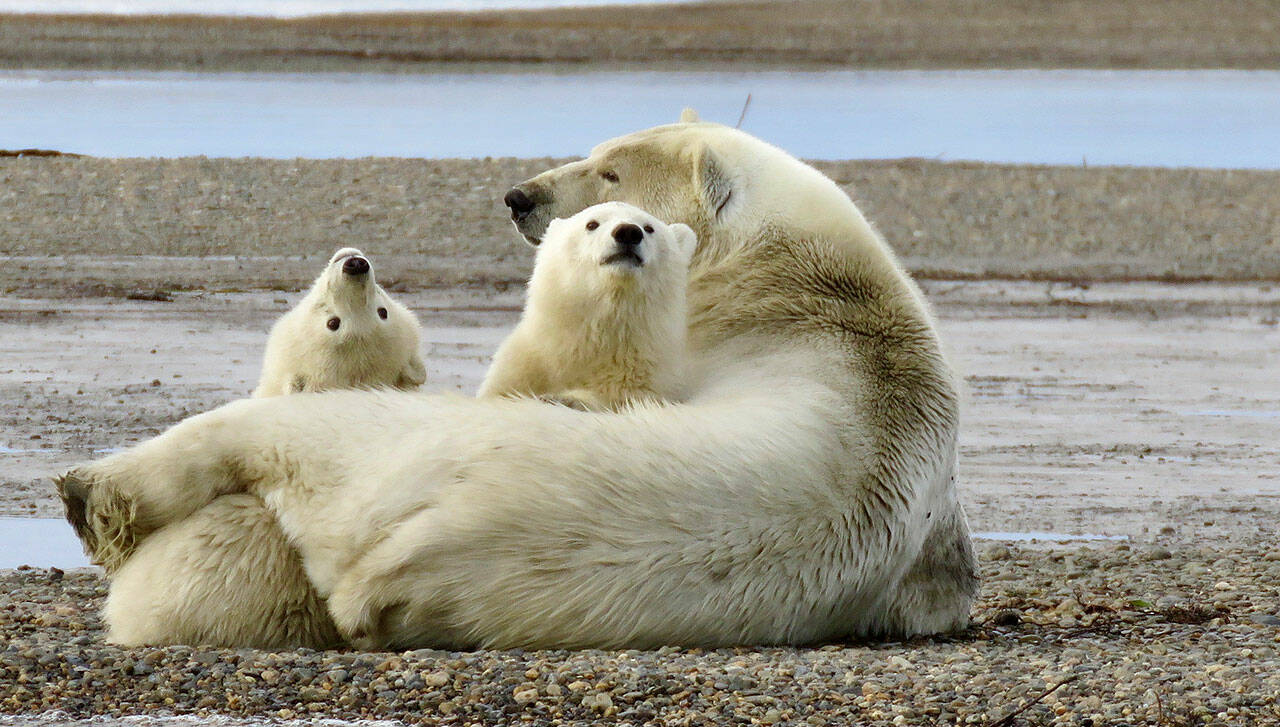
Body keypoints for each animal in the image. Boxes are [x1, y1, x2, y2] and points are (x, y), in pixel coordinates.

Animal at [478, 202, 696, 412]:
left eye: (649, 227)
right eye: (592, 224)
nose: (628, 232)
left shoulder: (648, 374)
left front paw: (562, 398)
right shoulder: (524, 364)